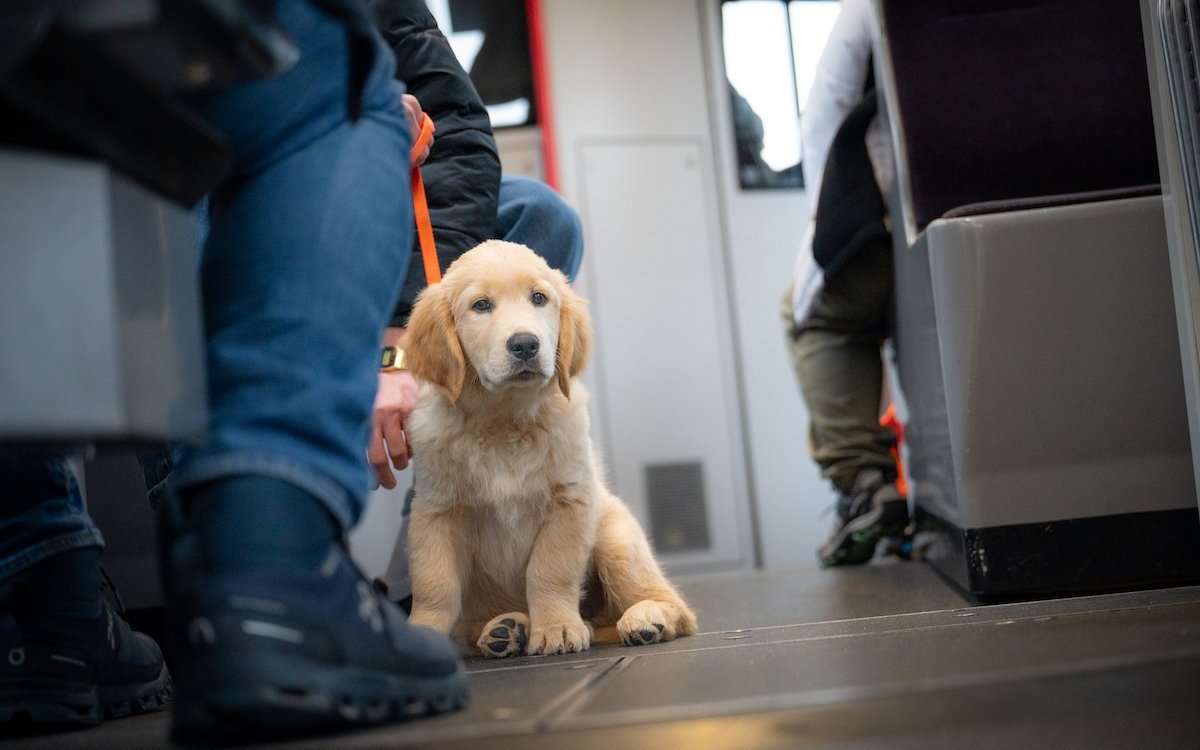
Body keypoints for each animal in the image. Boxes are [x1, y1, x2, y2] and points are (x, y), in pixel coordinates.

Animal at [400, 240, 696, 652]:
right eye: (480, 305)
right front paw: (423, 632)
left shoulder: (569, 502)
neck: (503, 419)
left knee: (678, 609)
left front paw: (557, 626)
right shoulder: (435, 511)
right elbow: (435, 583)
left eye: (538, 298)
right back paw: (506, 630)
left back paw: (646, 618)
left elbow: (548, 570)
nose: (525, 344)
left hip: (616, 538)